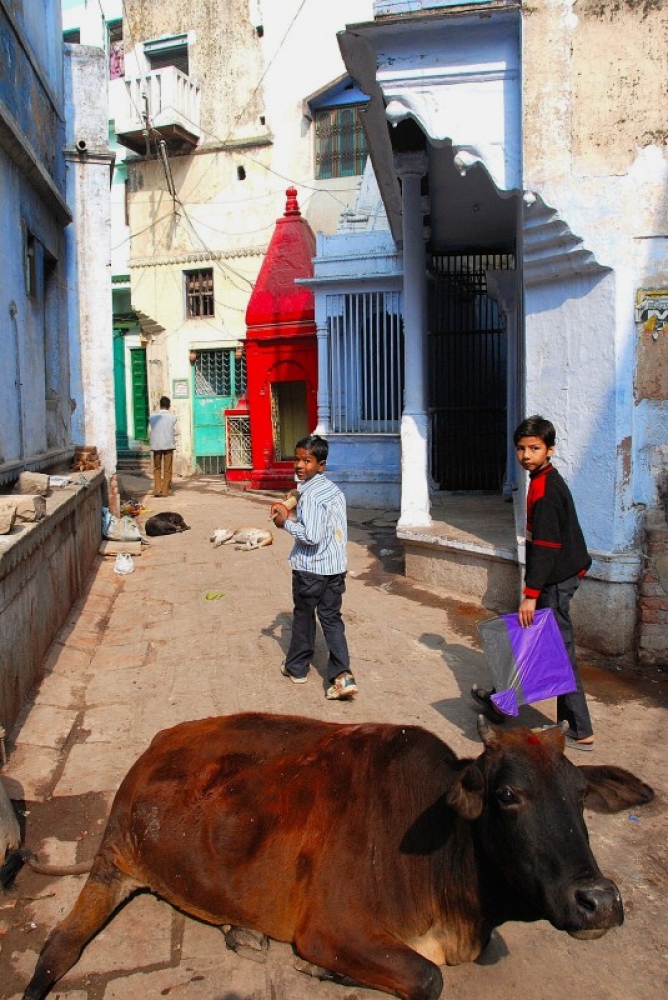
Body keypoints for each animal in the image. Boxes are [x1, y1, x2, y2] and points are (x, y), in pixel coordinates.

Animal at [18, 716, 656, 1000]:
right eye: (506, 795)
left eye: (580, 795)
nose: (599, 901)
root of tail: (149, 753)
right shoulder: (332, 929)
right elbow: (427, 978)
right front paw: (321, 972)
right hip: (112, 866)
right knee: (57, 950)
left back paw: (242, 931)